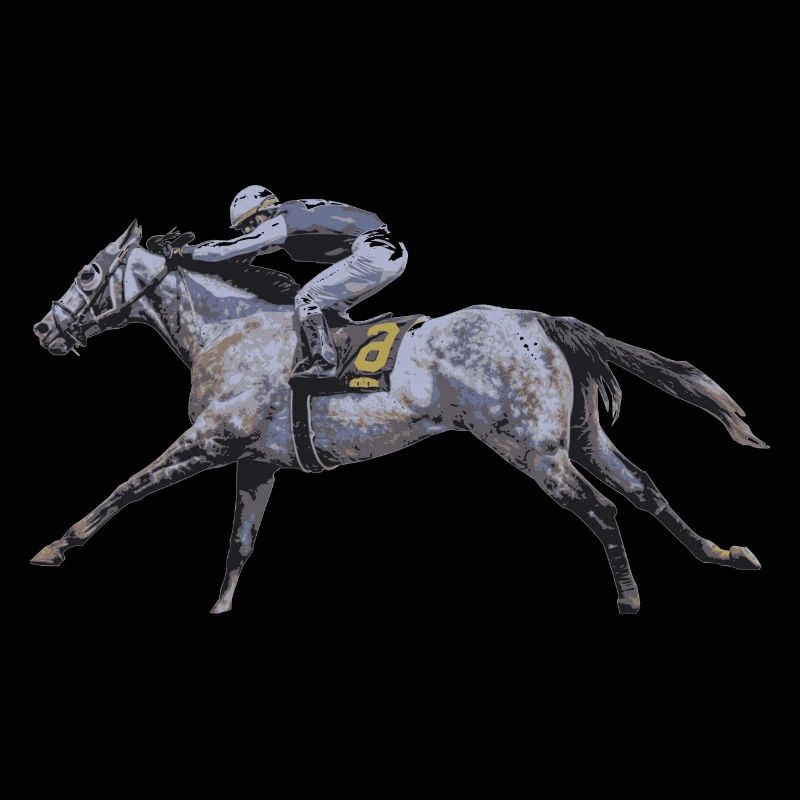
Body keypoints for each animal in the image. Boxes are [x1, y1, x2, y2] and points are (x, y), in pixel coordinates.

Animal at [30, 222, 768, 614]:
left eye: (90, 273)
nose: (43, 329)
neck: (230, 331)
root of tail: (543, 320)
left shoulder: (214, 438)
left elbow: (127, 487)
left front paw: (55, 547)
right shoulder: (257, 460)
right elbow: (239, 545)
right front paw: (218, 610)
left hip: (534, 449)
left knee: (602, 508)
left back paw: (629, 598)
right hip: (579, 437)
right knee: (642, 486)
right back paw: (721, 554)